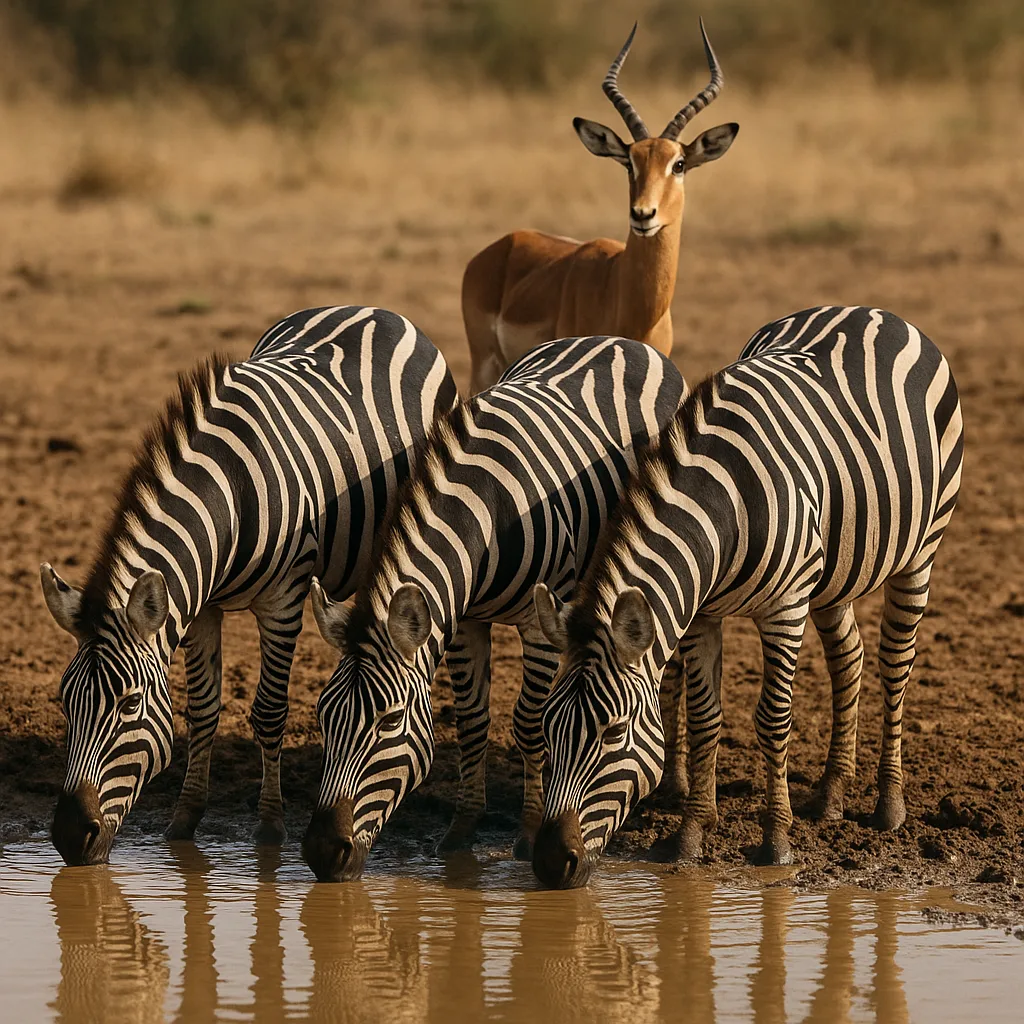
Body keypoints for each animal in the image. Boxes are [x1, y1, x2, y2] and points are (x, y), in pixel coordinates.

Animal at [39, 305, 457, 866]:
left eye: (128, 705)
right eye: (65, 701)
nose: (67, 836)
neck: (229, 498)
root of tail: (372, 309)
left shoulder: (283, 601)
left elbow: (269, 712)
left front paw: (270, 827)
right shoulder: (201, 607)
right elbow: (203, 710)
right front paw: (184, 820)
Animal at [301, 335, 685, 881]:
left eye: (389, 722)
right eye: (322, 714)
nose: (319, 852)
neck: (485, 511)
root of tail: (618, 340)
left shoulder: (538, 622)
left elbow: (528, 723)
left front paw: (527, 832)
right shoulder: (466, 619)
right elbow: (471, 721)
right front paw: (461, 830)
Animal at [530, 306, 963, 887]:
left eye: (613, 732)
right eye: (547, 728)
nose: (551, 863)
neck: (723, 506)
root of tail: (867, 310)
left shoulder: (784, 609)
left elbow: (773, 719)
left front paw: (776, 841)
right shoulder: (700, 614)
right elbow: (705, 716)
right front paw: (692, 833)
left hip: (920, 551)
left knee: (895, 663)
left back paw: (889, 806)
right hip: (834, 574)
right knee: (849, 659)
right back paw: (830, 795)